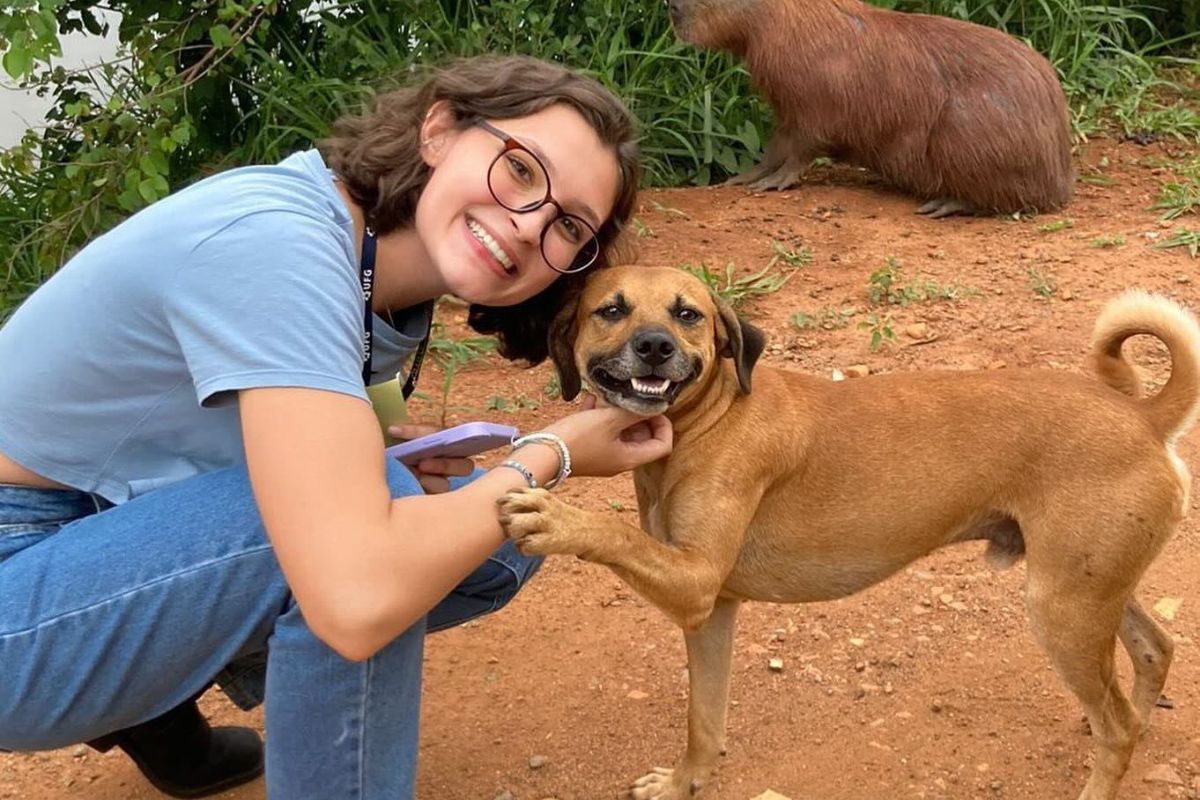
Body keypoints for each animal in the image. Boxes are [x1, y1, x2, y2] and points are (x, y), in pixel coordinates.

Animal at [496, 267, 1200, 800]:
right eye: (610, 310)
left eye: (687, 314)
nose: (653, 347)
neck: (709, 417)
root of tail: (1140, 415)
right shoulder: (712, 608)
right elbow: (704, 720)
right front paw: (684, 783)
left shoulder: (693, 580)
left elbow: (614, 534)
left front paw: (559, 519)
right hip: (1088, 591)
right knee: (1153, 654)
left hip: (1062, 609)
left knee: (1118, 725)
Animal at [672, 0, 1075, 217]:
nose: (670, 6)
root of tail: (1061, 182)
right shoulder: (786, 110)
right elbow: (774, 150)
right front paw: (742, 179)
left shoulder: (812, 110)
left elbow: (800, 152)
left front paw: (770, 184)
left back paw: (940, 205)